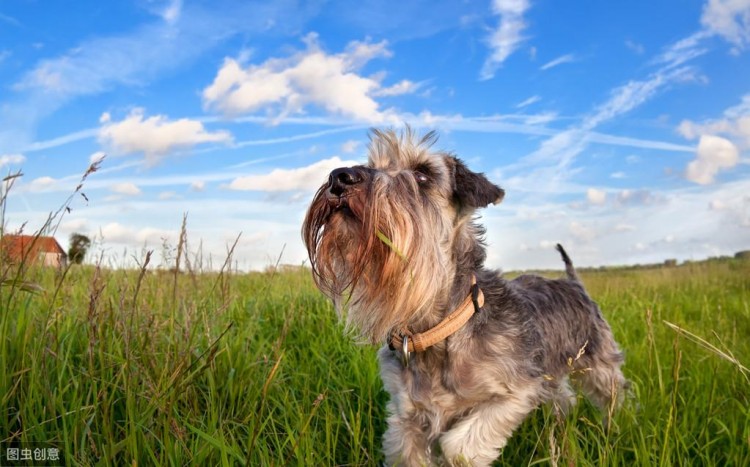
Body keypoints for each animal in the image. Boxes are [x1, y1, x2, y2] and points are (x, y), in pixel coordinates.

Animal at [302, 129, 624, 467]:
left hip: (600, 365)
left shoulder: (516, 391)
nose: (340, 177)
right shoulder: (407, 418)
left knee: (612, 396)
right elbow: (409, 451)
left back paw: (613, 428)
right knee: (564, 398)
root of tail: (575, 283)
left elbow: (459, 446)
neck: (438, 330)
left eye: (422, 174)